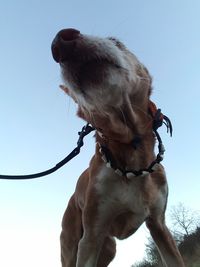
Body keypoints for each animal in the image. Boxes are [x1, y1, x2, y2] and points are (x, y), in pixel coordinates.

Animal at [51, 28, 184, 267]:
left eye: (116, 41)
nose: (60, 41)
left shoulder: (159, 225)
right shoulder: (91, 237)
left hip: (108, 247)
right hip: (73, 245)